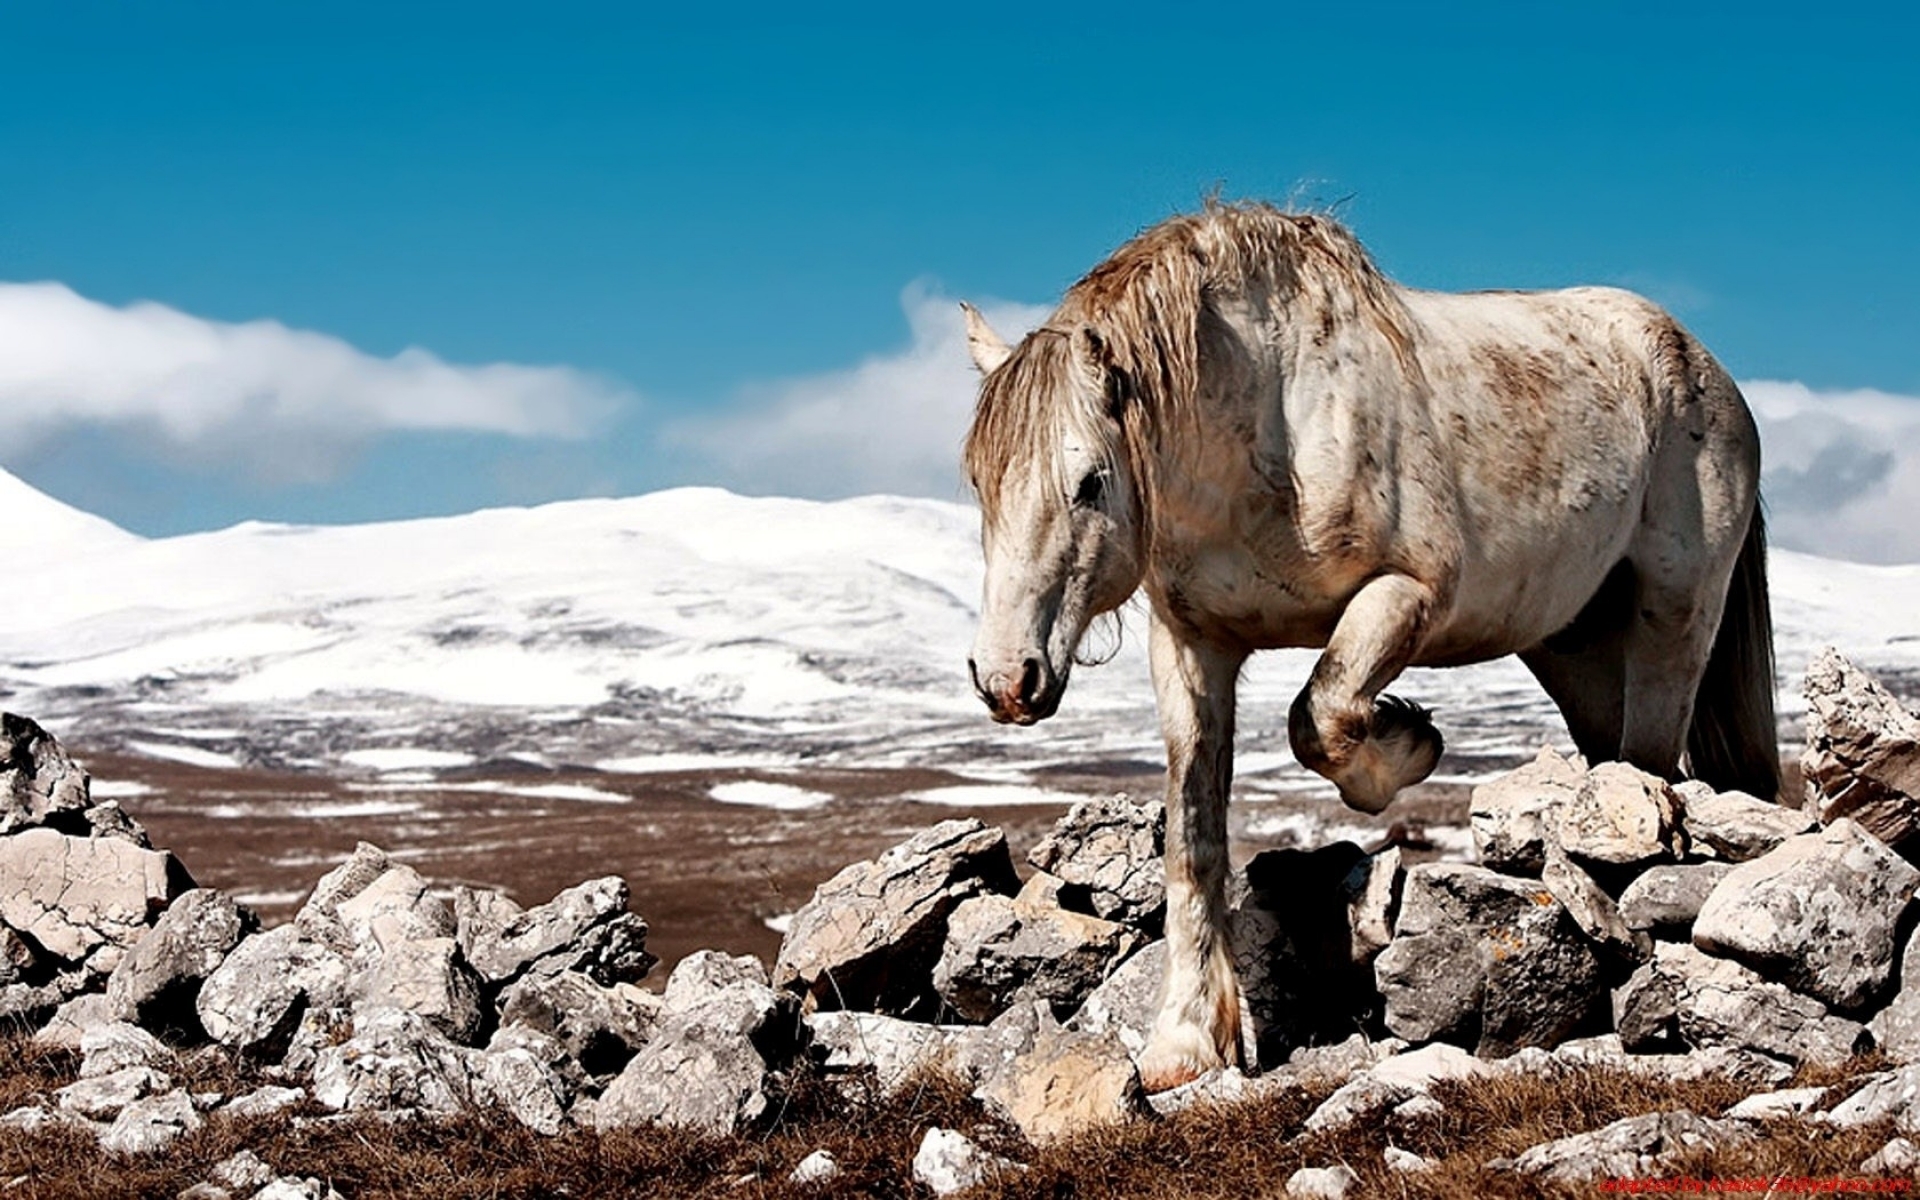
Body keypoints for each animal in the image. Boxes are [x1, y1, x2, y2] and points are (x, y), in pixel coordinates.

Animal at [952, 201, 1774, 1090]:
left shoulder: (1407, 594)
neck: (1269, 422)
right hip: (1573, 646)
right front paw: (1185, 1041)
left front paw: (1409, 744)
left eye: (1090, 482)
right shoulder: (1192, 646)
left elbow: (1322, 716)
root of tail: (1702, 364)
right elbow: (1193, 837)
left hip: (1673, 615)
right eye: (980, 482)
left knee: (1652, 761)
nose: (1007, 678)